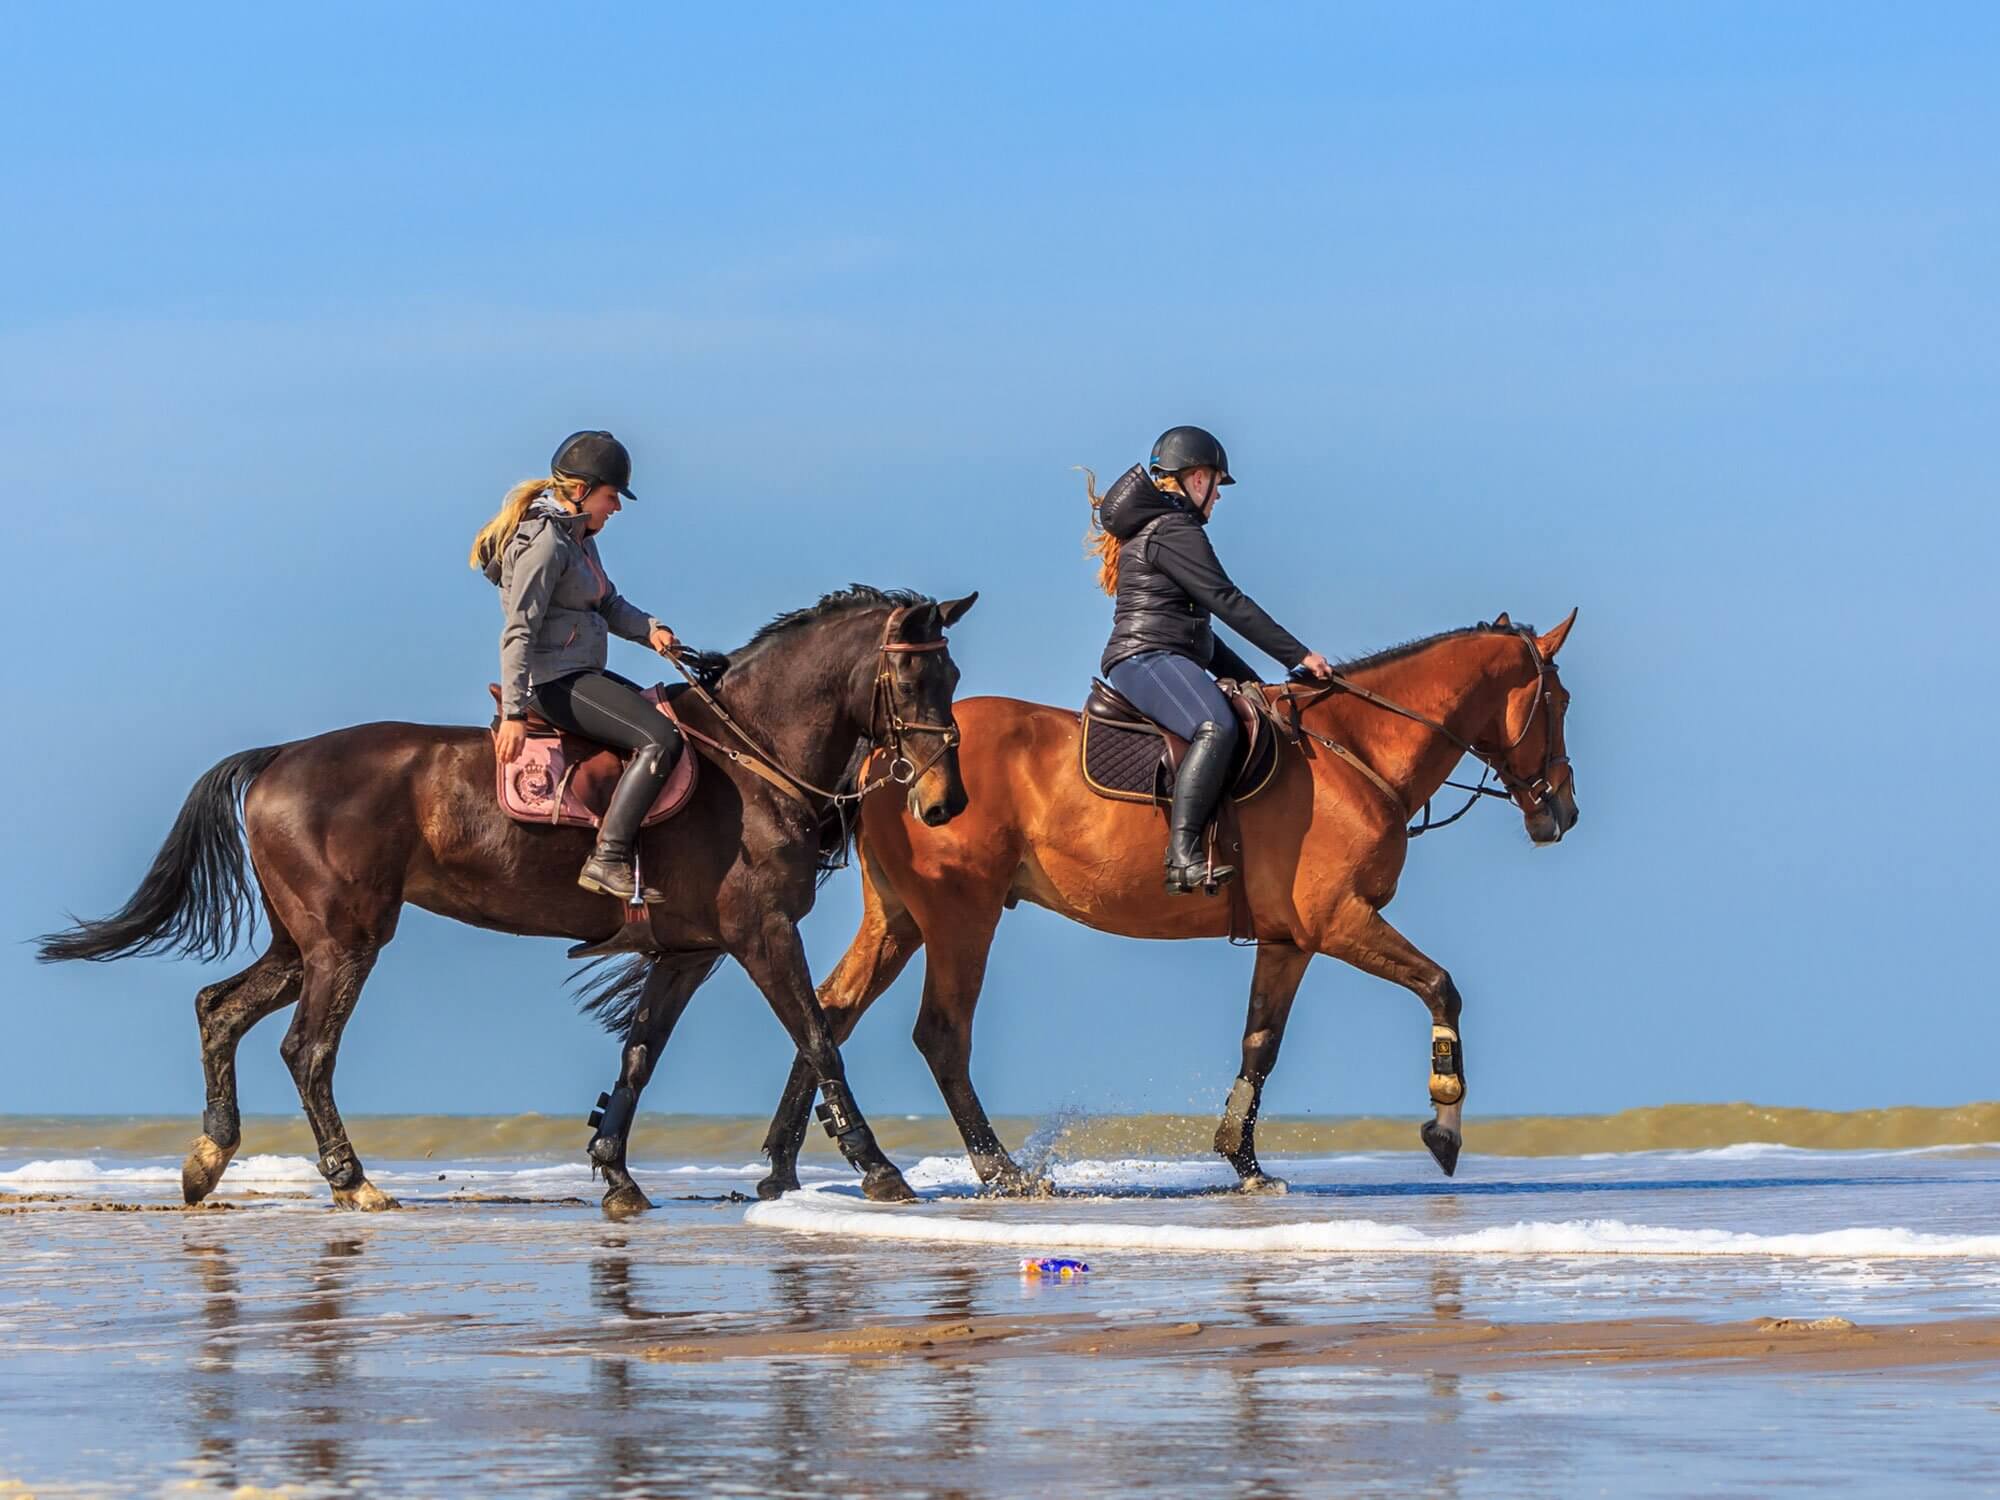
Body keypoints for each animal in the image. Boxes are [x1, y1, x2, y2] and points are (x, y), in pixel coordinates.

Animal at [43, 588, 980, 1224]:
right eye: (910, 674)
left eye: (954, 673)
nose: (944, 804)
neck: (747, 759)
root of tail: (280, 758)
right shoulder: (761, 934)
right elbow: (819, 1041)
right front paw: (879, 1171)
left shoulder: (689, 951)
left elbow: (640, 1056)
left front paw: (616, 1174)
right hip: (345, 941)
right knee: (306, 1049)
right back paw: (353, 1182)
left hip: (300, 942)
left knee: (219, 1009)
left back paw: (208, 1159)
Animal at [752, 612, 1576, 1200]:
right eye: (1560, 702)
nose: (1561, 813)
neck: (1356, 748)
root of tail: (888, 761)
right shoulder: (1341, 922)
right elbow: (1441, 986)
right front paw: (1444, 1126)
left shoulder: (1290, 941)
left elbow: (1260, 1044)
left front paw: (1244, 1163)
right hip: (961, 919)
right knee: (941, 1035)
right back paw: (1001, 1171)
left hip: (897, 921)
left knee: (828, 1013)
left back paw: (791, 1168)